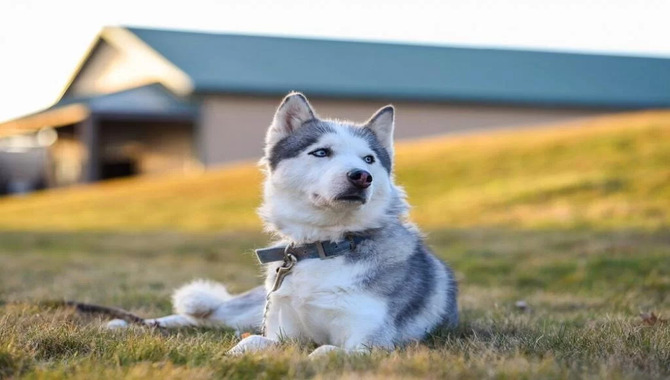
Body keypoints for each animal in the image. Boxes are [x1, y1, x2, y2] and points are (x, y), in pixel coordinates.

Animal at [110, 92, 460, 356]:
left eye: (369, 159)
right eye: (321, 152)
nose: (362, 177)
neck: (323, 247)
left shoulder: (370, 344)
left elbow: (323, 351)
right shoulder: (279, 331)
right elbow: (250, 343)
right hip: (250, 310)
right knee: (204, 316)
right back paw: (126, 324)